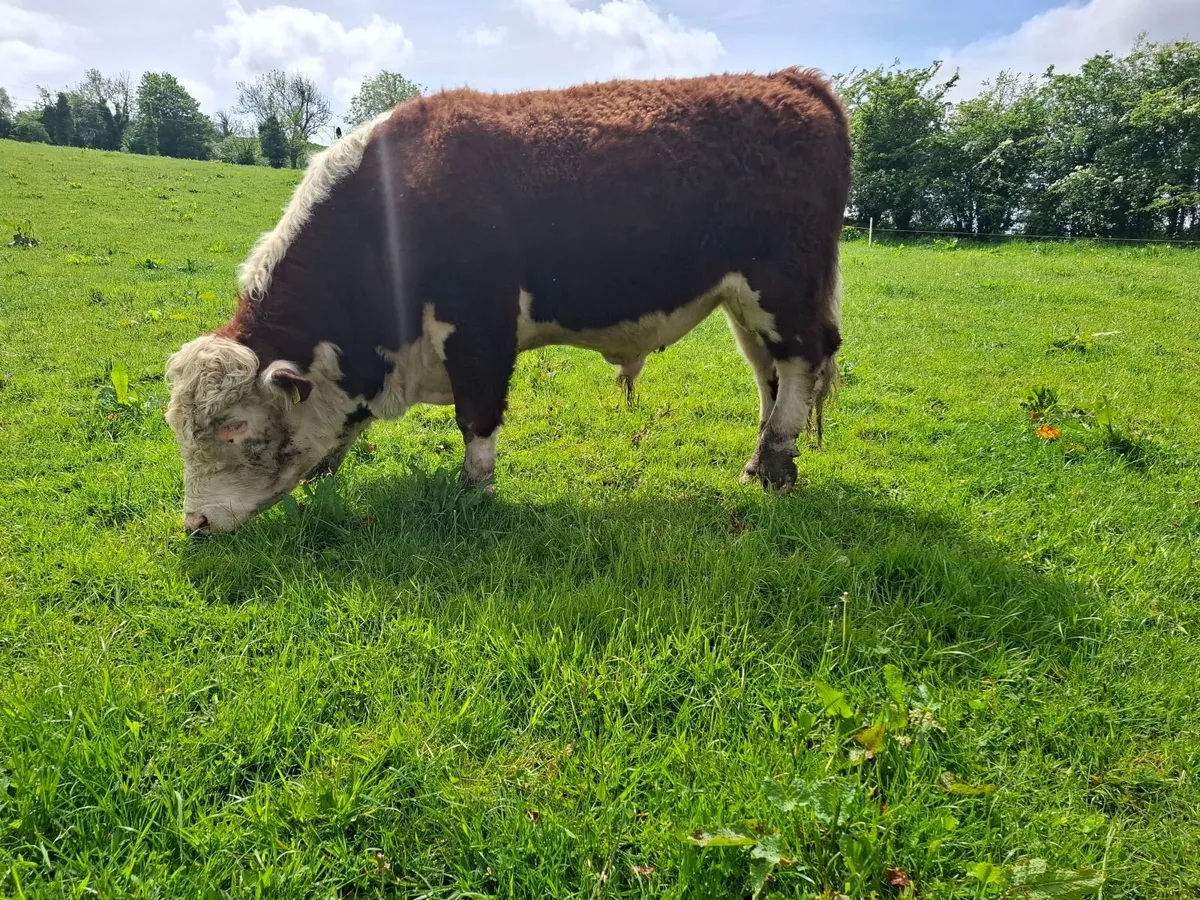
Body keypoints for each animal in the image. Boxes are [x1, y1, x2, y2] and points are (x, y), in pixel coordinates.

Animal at [165, 67, 851, 534]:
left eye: (234, 429)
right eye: (178, 428)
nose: (194, 525)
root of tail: (790, 81)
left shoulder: (479, 329)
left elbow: (477, 417)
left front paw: (475, 491)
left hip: (783, 288)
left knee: (800, 364)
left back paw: (778, 464)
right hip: (745, 306)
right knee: (768, 375)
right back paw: (758, 463)